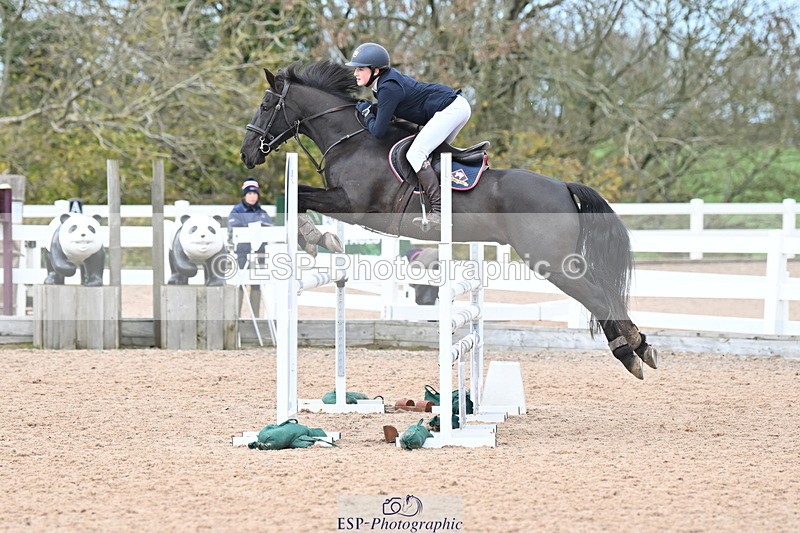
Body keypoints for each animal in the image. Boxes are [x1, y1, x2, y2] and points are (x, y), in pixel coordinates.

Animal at [240, 60, 657, 379]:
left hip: (552, 261)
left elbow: (298, 196)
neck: (351, 138)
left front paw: (316, 237)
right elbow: (298, 196)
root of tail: (563, 186)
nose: (247, 153)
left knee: (598, 295)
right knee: (602, 293)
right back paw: (641, 347)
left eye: (265, 104)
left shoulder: (352, 203)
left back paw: (630, 352)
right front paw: (317, 238)